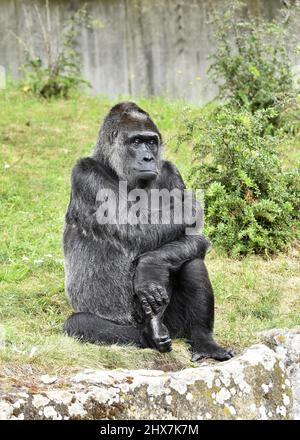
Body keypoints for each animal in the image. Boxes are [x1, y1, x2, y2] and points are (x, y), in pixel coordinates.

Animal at [62, 102, 233, 360]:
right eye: (136, 141)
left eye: (151, 142)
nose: (148, 157)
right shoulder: (86, 173)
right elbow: (134, 229)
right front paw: (189, 207)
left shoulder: (171, 171)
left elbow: (192, 240)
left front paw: (150, 267)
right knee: (78, 323)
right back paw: (149, 335)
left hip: (175, 327)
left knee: (192, 262)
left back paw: (205, 342)